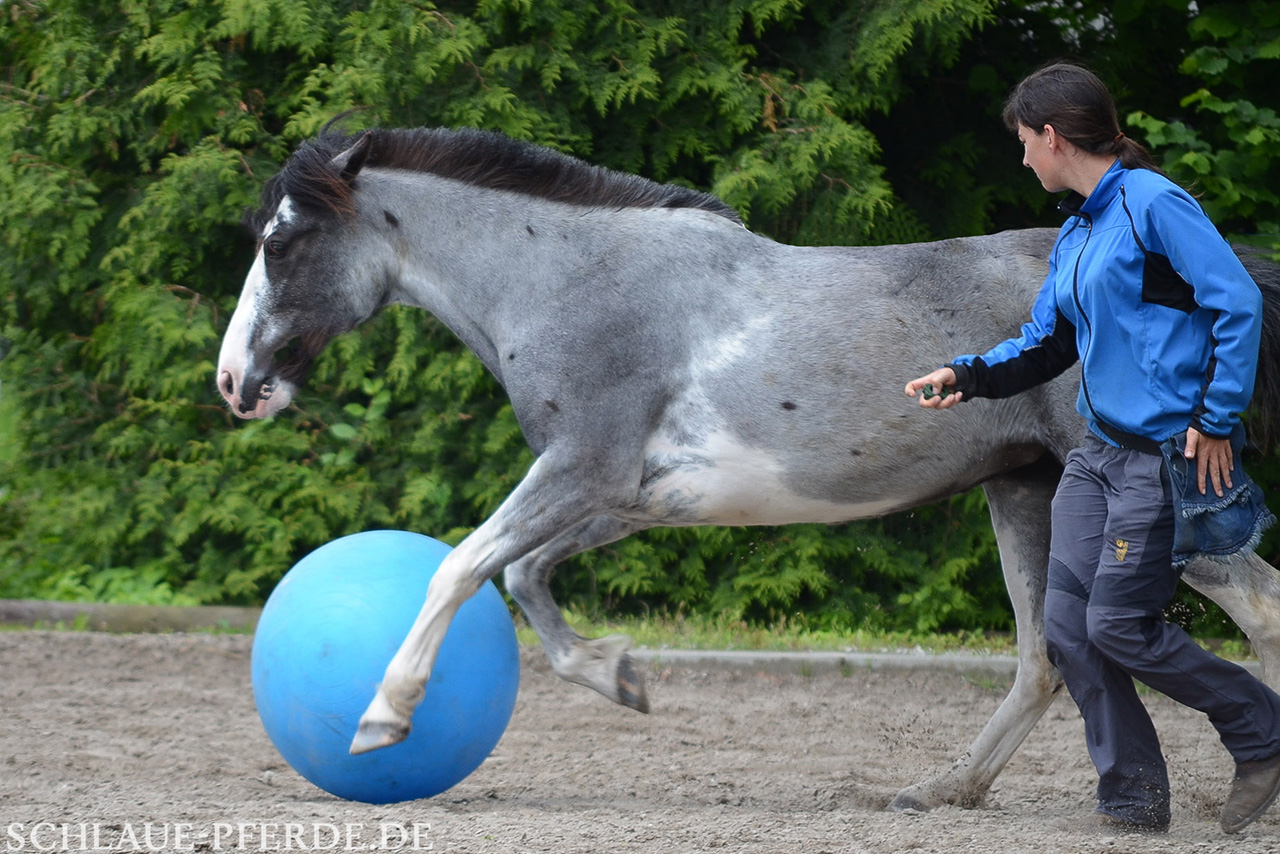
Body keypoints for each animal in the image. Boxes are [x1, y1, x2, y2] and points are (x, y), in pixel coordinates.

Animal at [216, 124, 1280, 811]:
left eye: (283, 239)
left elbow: (457, 568)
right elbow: (520, 576)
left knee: (1257, 606)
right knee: (1040, 658)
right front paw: (620, 677)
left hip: (1154, 509)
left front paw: (381, 720)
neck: (573, 285)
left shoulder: (580, 470)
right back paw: (944, 790)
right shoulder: (625, 495)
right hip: (1021, 492)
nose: (234, 382)